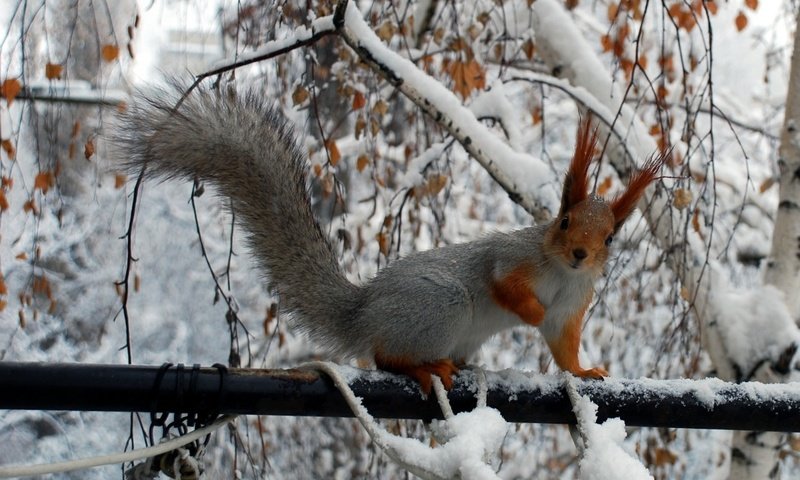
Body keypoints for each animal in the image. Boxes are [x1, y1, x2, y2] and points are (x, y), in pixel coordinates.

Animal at [111, 82, 664, 394]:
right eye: (564, 221)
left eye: (610, 238)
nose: (579, 254)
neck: (558, 272)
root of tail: (364, 311)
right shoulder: (513, 257)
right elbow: (502, 282)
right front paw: (527, 310)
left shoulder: (572, 303)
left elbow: (562, 344)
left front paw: (583, 373)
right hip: (441, 305)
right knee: (384, 357)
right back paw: (422, 368)